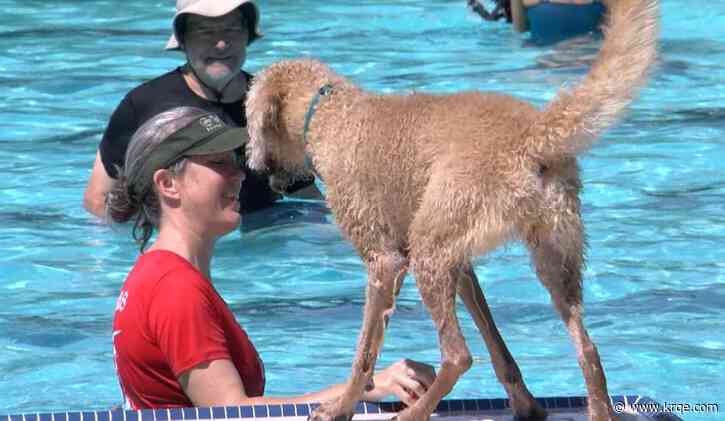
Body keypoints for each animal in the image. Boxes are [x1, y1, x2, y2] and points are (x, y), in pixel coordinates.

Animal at [246, 0, 660, 416]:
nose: (259, 171)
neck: (329, 115)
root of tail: (535, 134)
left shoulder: (386, 262)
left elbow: (364, 356)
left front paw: (341, 407)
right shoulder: (460, 264)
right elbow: (498, 347)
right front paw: (526, 404)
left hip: (429, 252)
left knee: (458, 355)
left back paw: (413, 413)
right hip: (552, 256)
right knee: (587, 349)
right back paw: (598, 410)